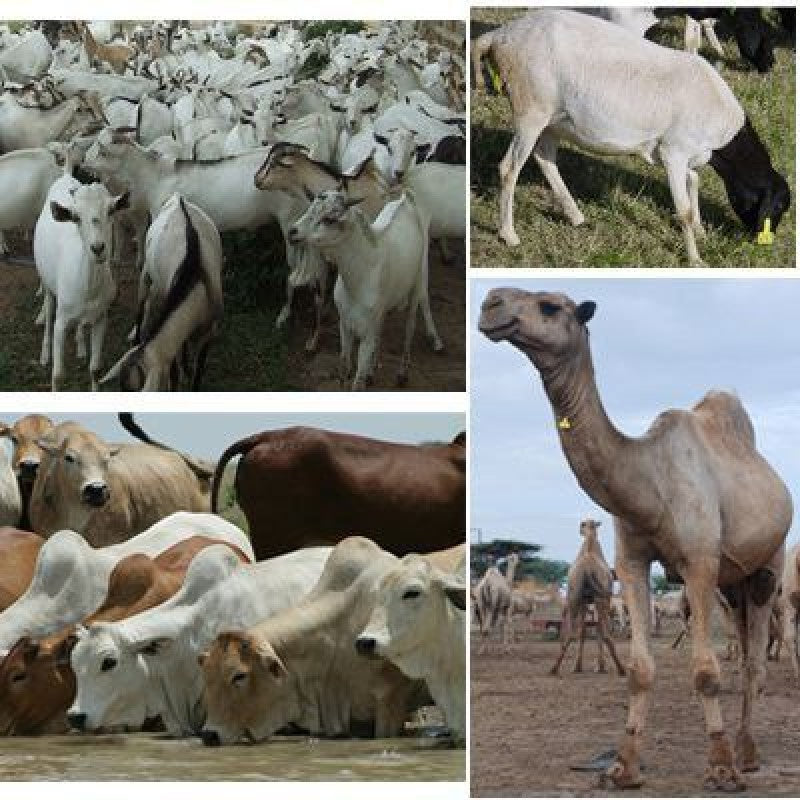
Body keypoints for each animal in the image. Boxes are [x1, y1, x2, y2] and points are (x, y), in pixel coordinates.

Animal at [550, 519, 626, 675]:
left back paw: (554, 669)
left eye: (582, 525)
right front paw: (598, 667)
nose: (580, 529)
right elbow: (590, 630)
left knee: (573, 633)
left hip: (576, 598)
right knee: (603, 632)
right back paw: (621, 669)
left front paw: (583, 667)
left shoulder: (585, 600)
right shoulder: (591, 599)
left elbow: (584, 631)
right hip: (599, 598)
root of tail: (587, 569)